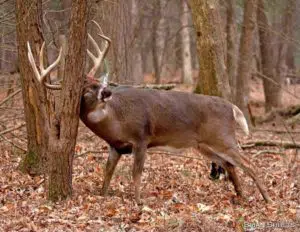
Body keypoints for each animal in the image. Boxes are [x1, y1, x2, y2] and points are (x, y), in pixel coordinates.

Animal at [28, 21, 270, 203]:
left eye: (97, 82)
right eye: (86, 90)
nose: (107, 91)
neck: (116, 121)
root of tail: (232, 107)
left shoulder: (141, 137)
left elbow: (136, 173)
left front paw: (138, 202)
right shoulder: (116, 146)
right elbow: (107, 173)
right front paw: (103, 195)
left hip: (222, 137)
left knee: (248, 163)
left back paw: (266, 199)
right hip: (205, 145)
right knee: (230, 164)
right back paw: (241, 197)